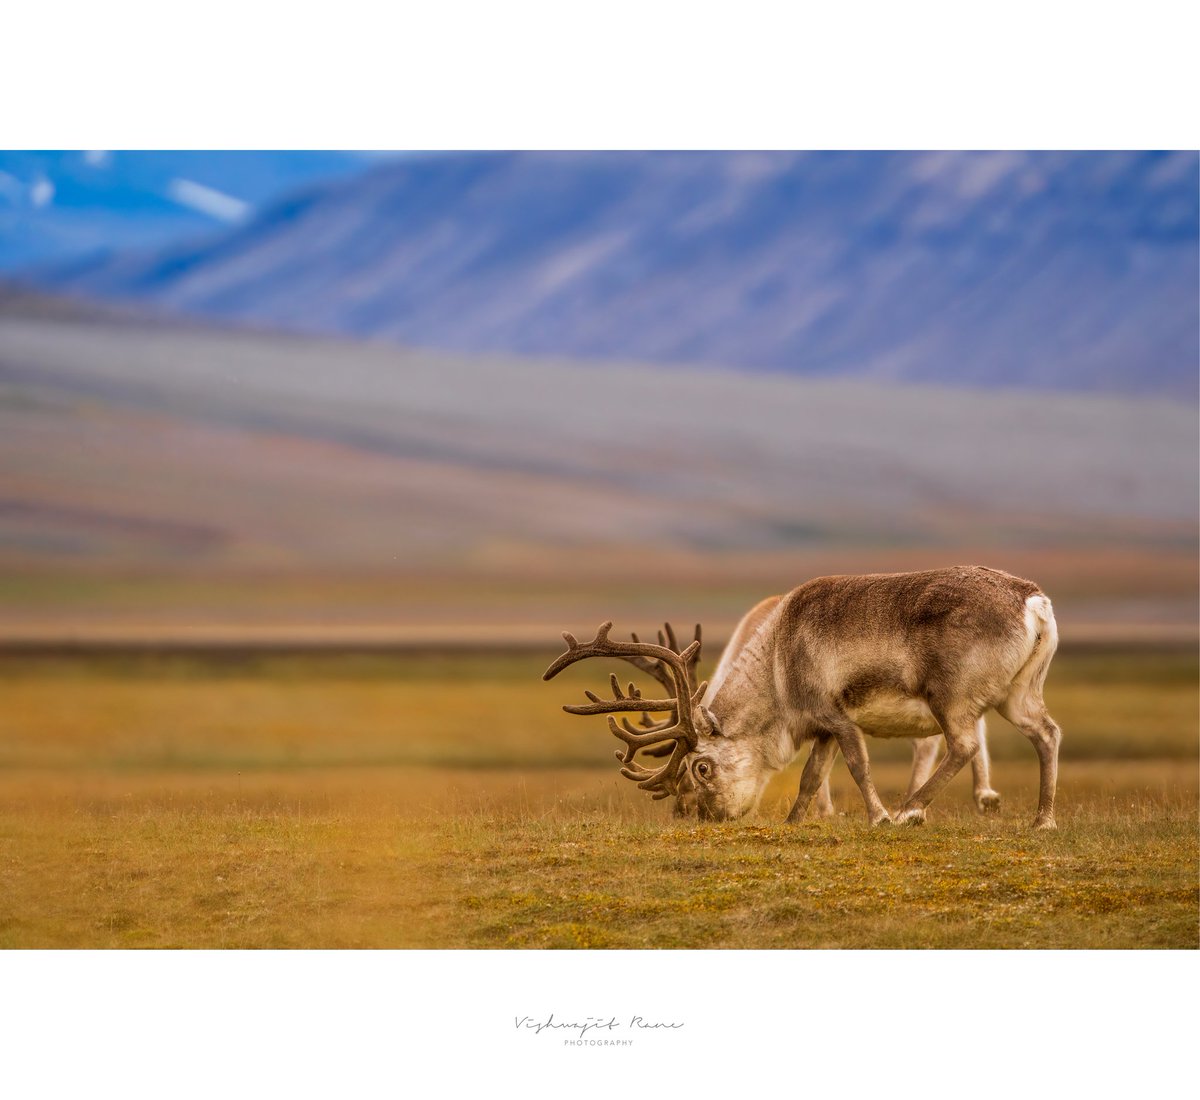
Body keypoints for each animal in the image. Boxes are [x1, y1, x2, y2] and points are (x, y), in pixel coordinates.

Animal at [543, 566, 1061, 828]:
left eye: (700, 768)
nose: (710, 819)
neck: (777, 663)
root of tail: (1033, 601)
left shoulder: (837, 715)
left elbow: (857, 766)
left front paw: (878, 817)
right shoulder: (822, 727)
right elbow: (812, 777)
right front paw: (794, 822)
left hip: (950, 697)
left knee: (963, 744)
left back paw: (909, 810)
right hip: (1019, 693)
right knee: (1047, 734)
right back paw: (1042, 821)